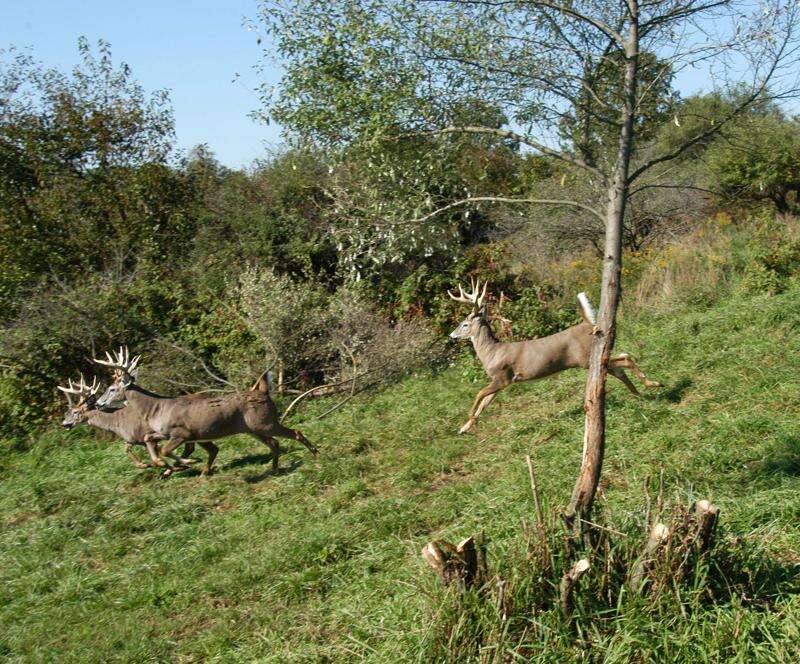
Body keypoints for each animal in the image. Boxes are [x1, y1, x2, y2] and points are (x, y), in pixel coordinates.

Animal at [57, 376, 197, 470]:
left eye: (75, 412)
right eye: (66, 412)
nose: (64, 424)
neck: (118, 421)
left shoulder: (146, 434)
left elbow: (157, 454)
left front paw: (170, 466)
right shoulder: (133, 439)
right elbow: (126, 449)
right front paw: (143, 464)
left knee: (189, 445)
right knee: (190, 445)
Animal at [92, 344, 318, 474]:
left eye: (112, 388)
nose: (98, 403)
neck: (155, 408)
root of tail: (263, 392)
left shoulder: (181, 432)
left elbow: (166, 450)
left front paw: (187, 461)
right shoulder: (164, 432)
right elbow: (150, 440)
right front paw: (164, 464)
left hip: (265, 422)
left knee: (295, 432)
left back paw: (315, 455)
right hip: (254, 428)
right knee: (274, 442)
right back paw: (273, 469)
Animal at [446, 280, 660, 436]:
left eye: (465, 324)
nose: (451, 335)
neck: (491, 352)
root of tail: (588, 324)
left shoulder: (503, 376)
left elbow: (479, 394)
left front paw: (468, 417)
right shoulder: (501, 381)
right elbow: (484, 403)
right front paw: (464, 428)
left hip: (585, 357)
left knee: (625, 358)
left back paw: (654, 384)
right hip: (590, 358)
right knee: (619, 367)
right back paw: (639, 394)